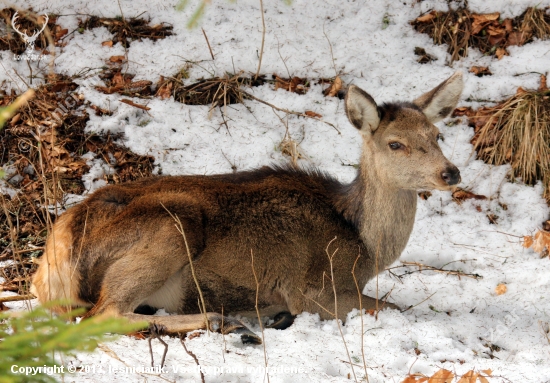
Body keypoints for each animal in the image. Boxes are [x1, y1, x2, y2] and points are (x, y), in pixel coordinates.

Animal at [31, 71, 466, 344]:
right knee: (102, 313)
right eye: (395, 143)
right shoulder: (312, 289)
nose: (451, 173)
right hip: (174, 224)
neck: (363, 245)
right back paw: (222, 321)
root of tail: (53, 256)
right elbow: (398, 308)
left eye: (437, 134)